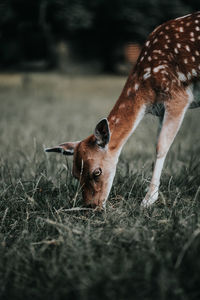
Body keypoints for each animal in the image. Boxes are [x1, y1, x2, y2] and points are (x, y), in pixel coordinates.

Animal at [46, 12, 200, 209]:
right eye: (74, 174)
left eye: (96, 172)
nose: (92, 206)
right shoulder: (161, 111)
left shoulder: (178, 97)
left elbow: (161, 147)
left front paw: (148, 200)